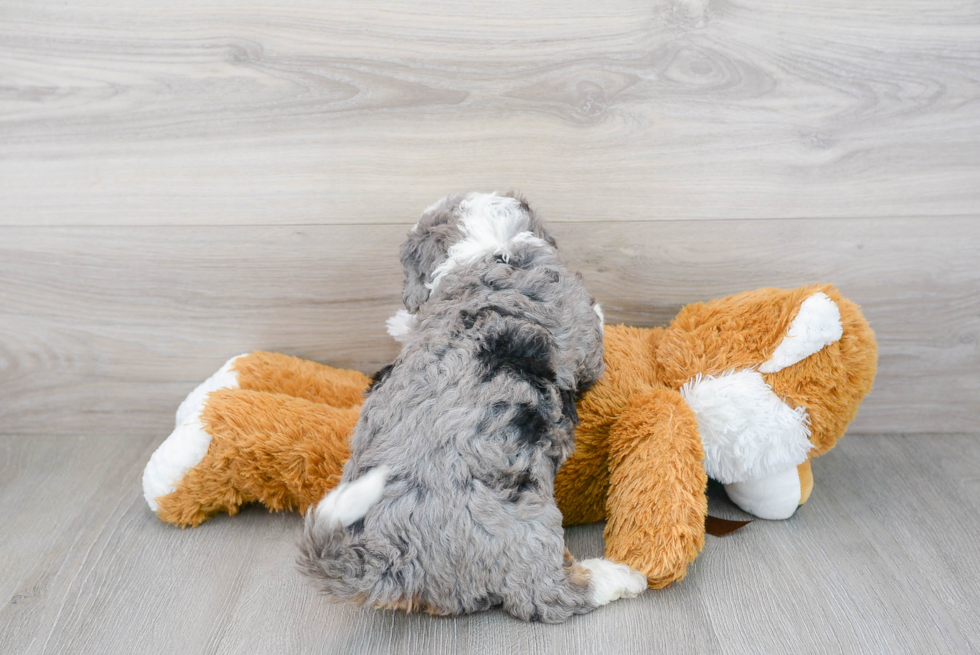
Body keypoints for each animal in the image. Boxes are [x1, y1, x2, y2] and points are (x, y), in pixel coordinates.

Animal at [298, 192, 652, 624]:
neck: (490, 247)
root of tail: (390, 559)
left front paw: (400, 323)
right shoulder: (581, 333)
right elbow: (593, 328)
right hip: (528, 529)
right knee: (551, 595)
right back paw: (619, 576)